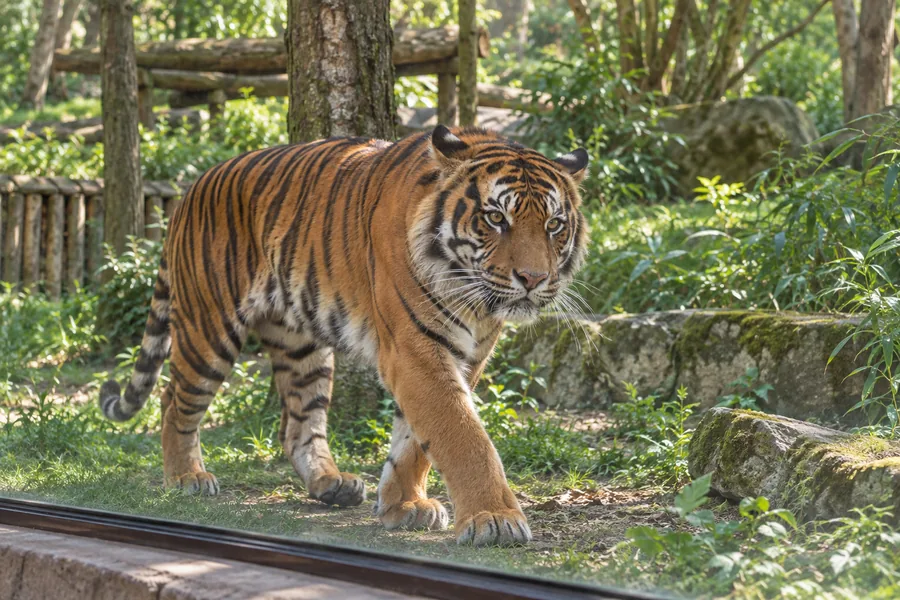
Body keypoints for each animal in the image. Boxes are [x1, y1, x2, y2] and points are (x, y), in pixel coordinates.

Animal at [98, 125, 589, 546]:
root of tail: (191, 189)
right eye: (495, 218)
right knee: (173, 401)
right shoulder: (414, 348)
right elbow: (462, 434)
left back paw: (331, 484)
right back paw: (187, 478)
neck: (475, 297)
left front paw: (403, 505)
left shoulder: (467, 353)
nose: (533, 279)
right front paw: (496, 519)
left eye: (554, 225)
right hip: (209, 327)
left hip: (302, 346)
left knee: (298, 423)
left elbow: (416, 440)